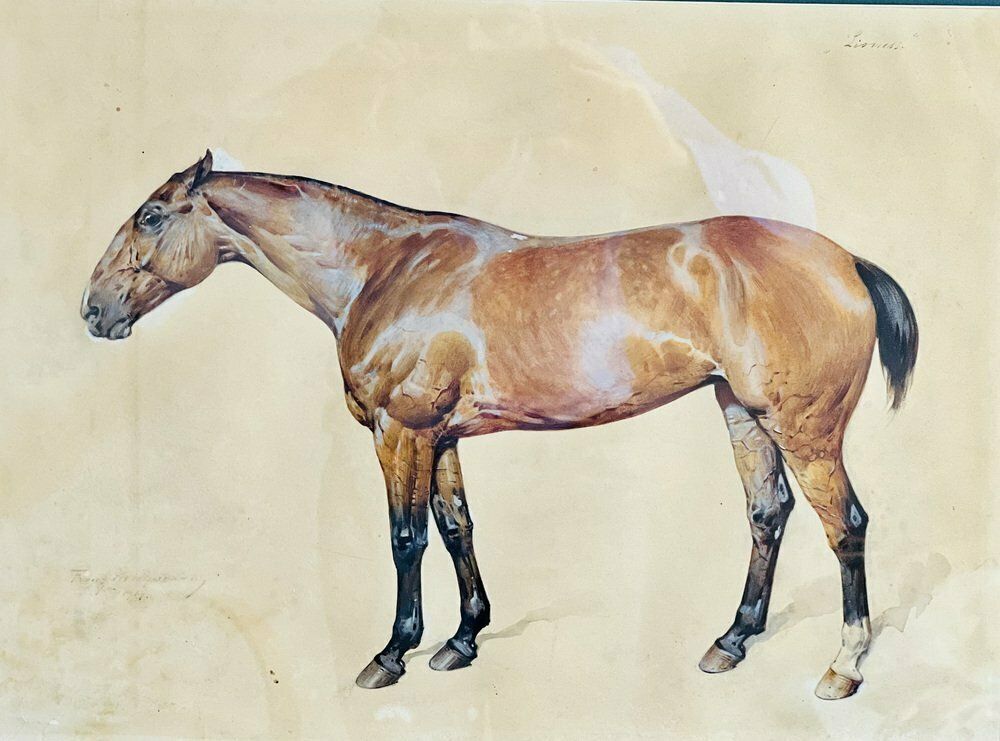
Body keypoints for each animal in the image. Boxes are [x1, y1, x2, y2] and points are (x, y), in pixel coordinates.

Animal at [82, 151, 917, 700]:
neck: (383, 269)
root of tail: (846, 261)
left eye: (151, 215)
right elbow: (457, 528)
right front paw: (462, 640)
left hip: (803, 429)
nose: (93, 309)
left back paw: (844, 666)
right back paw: (732, 641)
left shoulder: (400, 430)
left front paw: (393, 653)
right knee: (767, 512)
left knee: (844, 523)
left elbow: (406, 537)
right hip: (741, 412)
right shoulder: (442, 435)